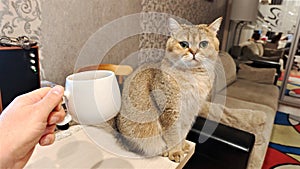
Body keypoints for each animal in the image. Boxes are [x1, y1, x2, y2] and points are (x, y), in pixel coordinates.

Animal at [113, 17, 221, 162]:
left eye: (203, 44)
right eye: (184, 44)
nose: (193, 52)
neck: (194, 76)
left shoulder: (190, 112)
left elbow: (183, 133)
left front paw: (182, 146)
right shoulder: (170, 111)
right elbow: (173, 136)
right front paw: (175, 152)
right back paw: (163, 151)